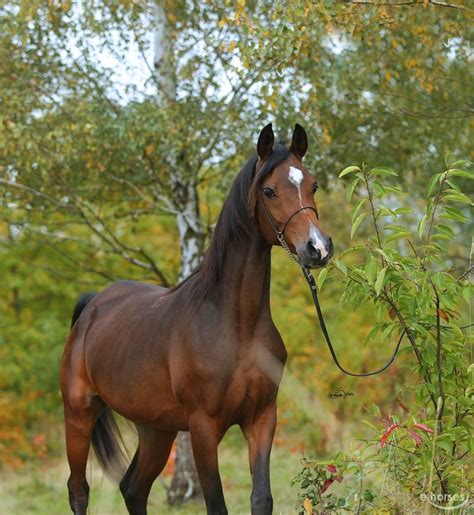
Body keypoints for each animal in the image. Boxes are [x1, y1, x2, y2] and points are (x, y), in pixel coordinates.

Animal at [60, 123, 334, 512]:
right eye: (269, 190)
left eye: (313, 184)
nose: (318, 248)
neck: (235, 327)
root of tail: (93, 304)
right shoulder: (204, 429)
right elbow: (216, 503)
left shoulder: (263, 419)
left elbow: (261, 497)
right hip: (78, 414)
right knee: (78, 490)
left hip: (156, 428)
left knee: (133, 487)